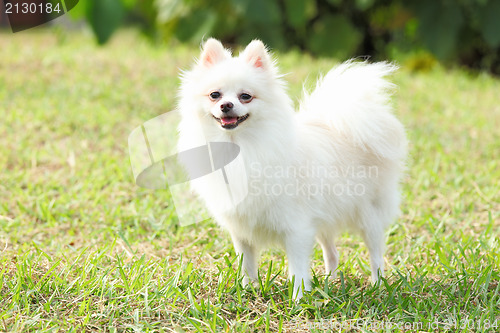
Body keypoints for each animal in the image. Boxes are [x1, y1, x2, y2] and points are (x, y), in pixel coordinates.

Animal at [176, 39, 406, 298]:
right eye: (214, 95)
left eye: (245, 96)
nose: (226, 105)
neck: (239, 146)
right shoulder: (242, 229)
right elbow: (247, 263)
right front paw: (248, 289)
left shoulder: (296, 228)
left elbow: (297, 269)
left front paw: (298, 299)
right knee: (332, 252)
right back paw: (330, 282)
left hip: (369, 215)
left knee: (375, 253)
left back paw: (378, 285)